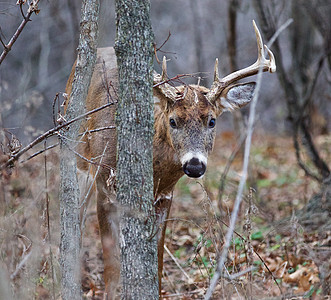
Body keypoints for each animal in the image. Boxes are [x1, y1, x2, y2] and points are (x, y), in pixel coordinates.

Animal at [64, 20, 274, 298]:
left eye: (212, 120)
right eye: (173, 120)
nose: (194, 165)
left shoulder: (165, 196)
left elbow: (159, 261)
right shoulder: (104, 185)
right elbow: (111, 267)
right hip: (78, 159)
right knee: (74, 220)